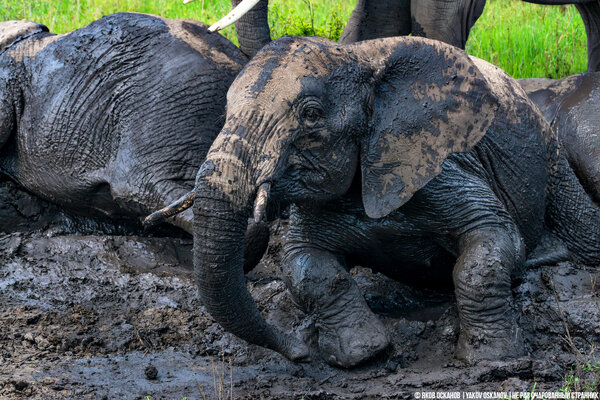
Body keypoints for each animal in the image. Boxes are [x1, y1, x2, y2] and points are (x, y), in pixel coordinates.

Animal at [179, 36, 600, 368]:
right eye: (225, 111)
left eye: (311, 115)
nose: (297, 353)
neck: (361, 63)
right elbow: (305, 265)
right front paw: (364, 354)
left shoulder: (439, 161)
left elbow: (489, 237)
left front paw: (494, 360)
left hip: (551, 157)